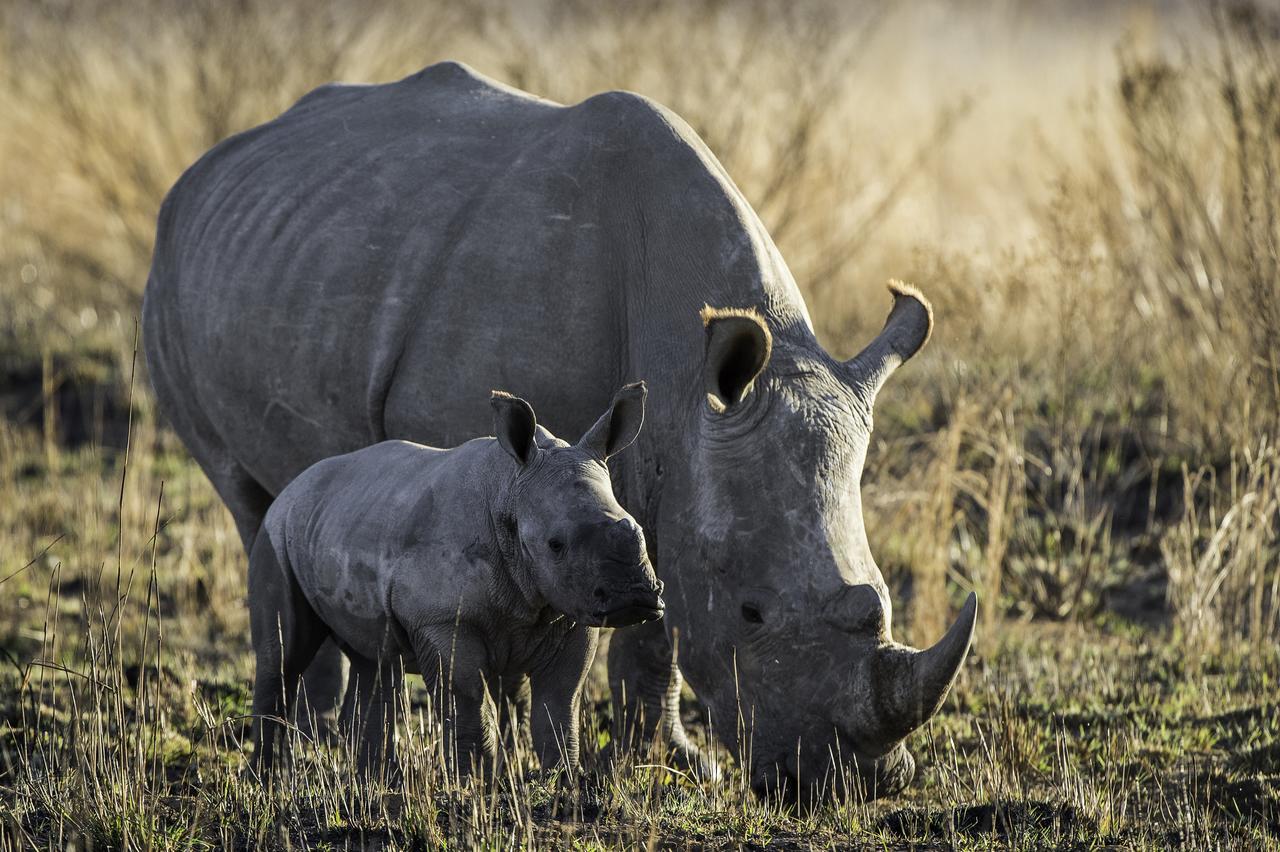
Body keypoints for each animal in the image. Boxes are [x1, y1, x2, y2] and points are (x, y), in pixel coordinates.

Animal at [248, 381, 660, 772]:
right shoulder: (442, 619)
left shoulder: (571, 611)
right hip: (276, 528)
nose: (634, 596)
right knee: (283, 658)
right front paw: (476, 783)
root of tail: (294, 484)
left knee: (374, 657)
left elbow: (559, 709)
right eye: (555, 545)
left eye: (638, 527)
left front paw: (562, 783)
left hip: (345, 516)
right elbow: (468, 703)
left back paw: (376, 782)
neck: (510, 490)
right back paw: (270, 778)